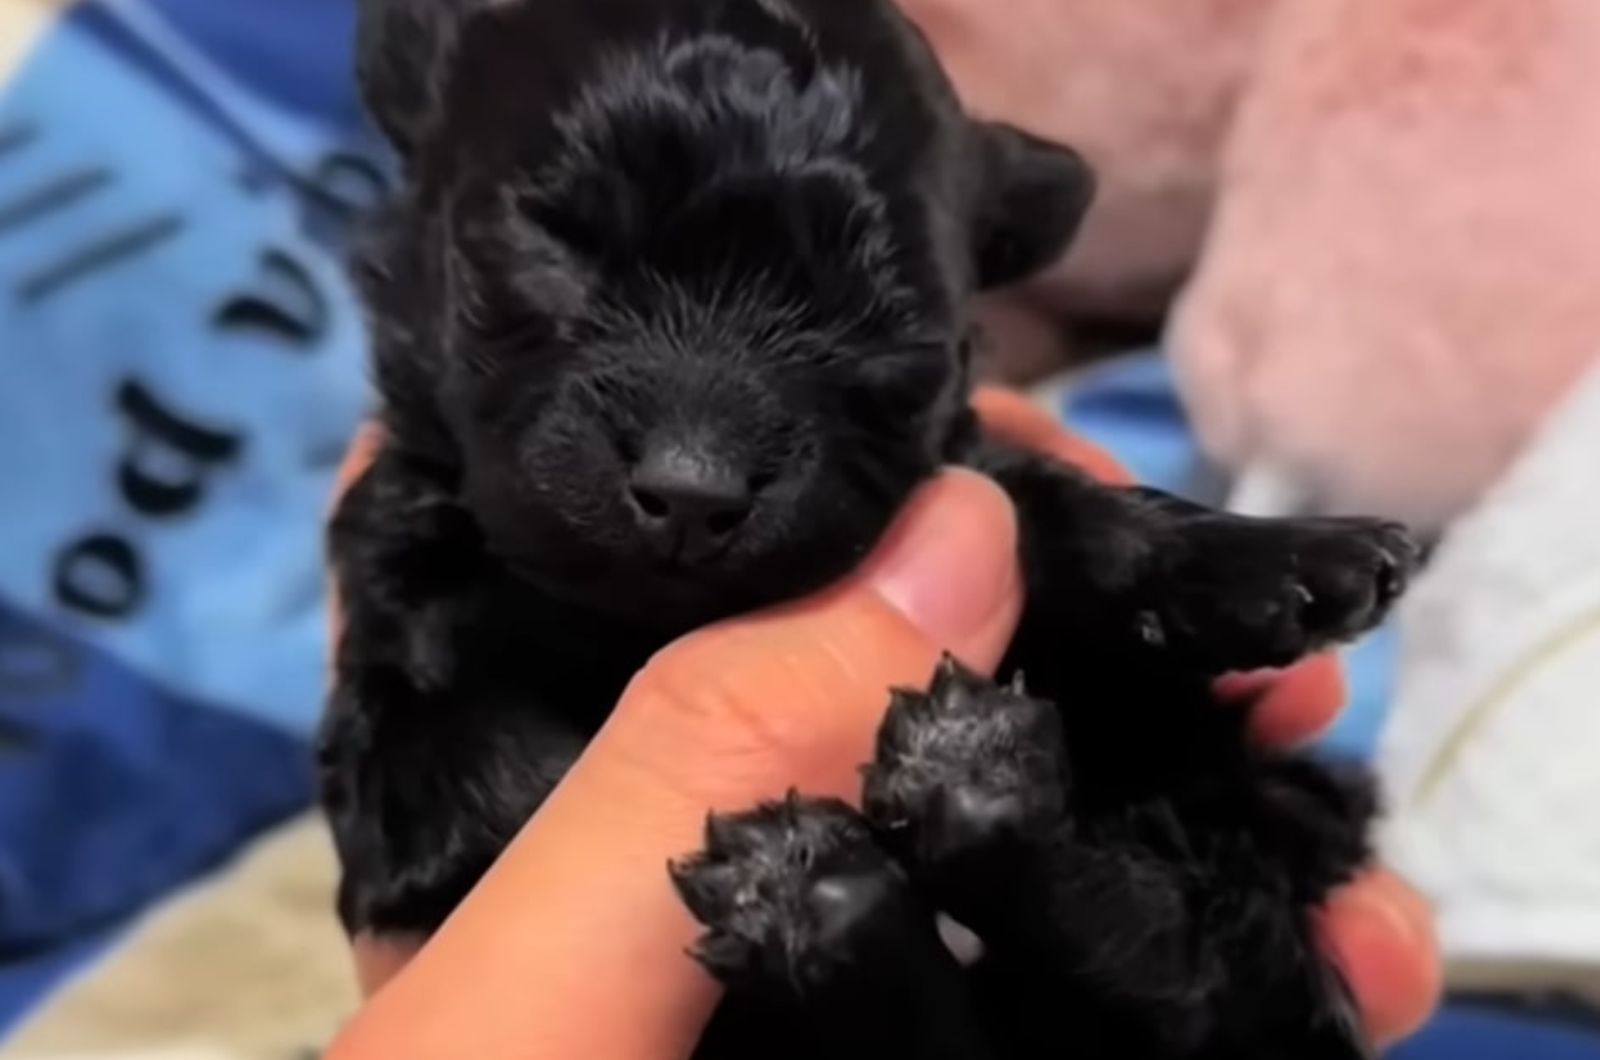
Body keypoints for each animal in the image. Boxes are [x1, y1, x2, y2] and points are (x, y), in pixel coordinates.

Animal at [321, 2, 1414, 1060]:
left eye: (883, 318)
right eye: (554, 236)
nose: (690, 490)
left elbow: (1043, 509)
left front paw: (1277, 557)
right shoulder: (401, 651)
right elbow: (469, 761)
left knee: (1170, 979)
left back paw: (948, 801)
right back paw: (830, 891)